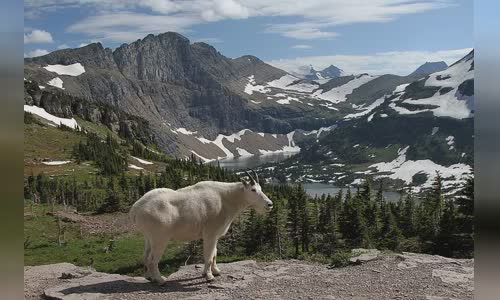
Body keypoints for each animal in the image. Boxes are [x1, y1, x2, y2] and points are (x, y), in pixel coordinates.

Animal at [128, 171, 270, 284]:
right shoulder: (210, 233)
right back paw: (160, 280)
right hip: (160, 238)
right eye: (253, 190)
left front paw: (216, 271)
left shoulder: (215, 235)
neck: (227, 199)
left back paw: (149, 277)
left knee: (146, 256)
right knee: (152, 259)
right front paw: (209, 276)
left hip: (148, 237)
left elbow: (214, 253)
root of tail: (135, 209)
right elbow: (208, 256)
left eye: (261, 188)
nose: (269, 204)